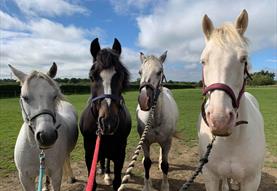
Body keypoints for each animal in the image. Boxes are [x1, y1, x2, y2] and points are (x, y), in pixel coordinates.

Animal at [78, 38, 132, 190]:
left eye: (121, 76)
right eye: (91, 76)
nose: (108, 123)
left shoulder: (120, 153)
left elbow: (117, 182)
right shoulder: (89, 153)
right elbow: (93, 182)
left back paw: (107, 172)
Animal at [136, 51, 179, 191]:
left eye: (159, 72)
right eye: (140, 72)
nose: (144, 99)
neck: (154, 119)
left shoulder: (167, 142)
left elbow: (166, 165)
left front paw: (165, 186)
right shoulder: (144, 142)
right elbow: (147, 163)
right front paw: (147, 185)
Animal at [197, 9, 264, 190]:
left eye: (243, 59)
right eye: (203, 61)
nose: (219, 120)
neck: (231, 140)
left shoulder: (252, 180)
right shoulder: (211, 177)